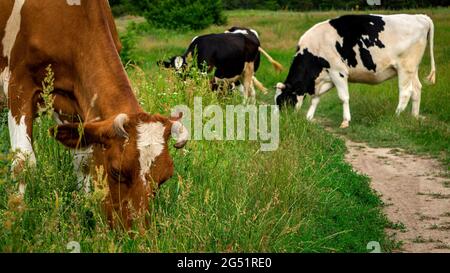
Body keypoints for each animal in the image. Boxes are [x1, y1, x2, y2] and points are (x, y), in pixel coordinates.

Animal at [0, 0, 188, 227]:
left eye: (165, 177)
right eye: (116, 171)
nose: (138, 232)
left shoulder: (72, 102)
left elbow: (83, 160)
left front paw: (85, 210)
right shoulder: (19, 85)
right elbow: (23, 162)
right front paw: (15, 220)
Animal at [276, 14, 434, 129]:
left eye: (283, 100)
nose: (282, 120)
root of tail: (420, 17)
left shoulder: (338, 72)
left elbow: (343, 97)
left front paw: (346, 121)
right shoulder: (325, 77)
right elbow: (316, 98)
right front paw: (309, 118)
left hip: (405, 68)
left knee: (406, 92)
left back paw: (396, 116)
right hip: (413, 69)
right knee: (417, 89)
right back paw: (414, 117)